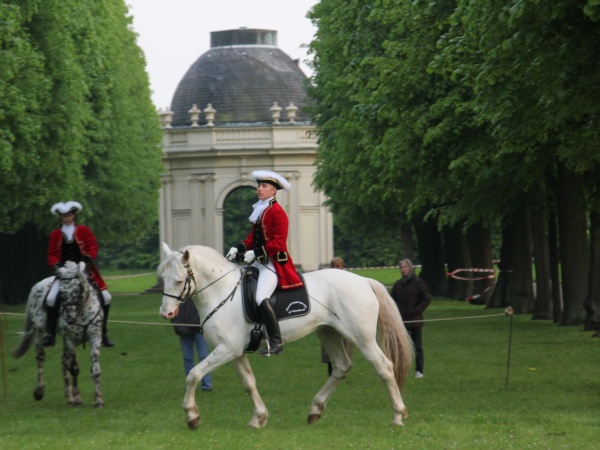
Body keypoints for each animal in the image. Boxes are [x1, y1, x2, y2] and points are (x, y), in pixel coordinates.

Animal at [12, 260, 105, 408]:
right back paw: (40, 391)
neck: (81, 312)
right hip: (40, 331)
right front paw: (77, 398)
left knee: (63, 362)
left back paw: (68, 396)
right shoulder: (70, 340)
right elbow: (74, 368)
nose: (69, 318)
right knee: (41, 358)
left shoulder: (95, 338)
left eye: (77, 290)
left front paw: (98, 400)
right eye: (61, 292)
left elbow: (95, 369)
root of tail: (36, 286)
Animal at [157, 244, 414, 430]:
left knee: (384, 367)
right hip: (328, 333)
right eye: (163, 279)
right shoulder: (234, 351)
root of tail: (364, 281)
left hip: (363, 339)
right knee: (341, 366)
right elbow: (249, 383)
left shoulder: (226, 349)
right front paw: (258, 418)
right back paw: (315, 410)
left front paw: (191, 416)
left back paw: (398, 416)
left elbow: (193, 374)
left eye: (179, 281)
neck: (222, 292)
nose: (166, 313)